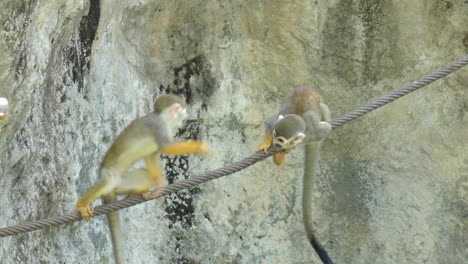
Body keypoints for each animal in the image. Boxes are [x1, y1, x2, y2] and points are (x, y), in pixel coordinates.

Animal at [76, 94, 210, 264]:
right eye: (183, 111)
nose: (184, 118)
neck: (163, 117)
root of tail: (112, 190)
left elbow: (151, 156)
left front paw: (159, 182)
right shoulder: (158, 126)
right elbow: (167, 147)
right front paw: (200, 147)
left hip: (122, 182)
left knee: (145, 175)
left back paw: (134, 194)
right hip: (110, 176)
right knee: (107, 178)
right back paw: (81, 205)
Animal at [256, 86, 332, 262]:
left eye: (281, 140)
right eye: (275, 136)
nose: (276, 144)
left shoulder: (312, 133)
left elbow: (326, 129)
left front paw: (287, 148)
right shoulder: (276, 123)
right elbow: (269, 123)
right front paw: (266, 144)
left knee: (323, 109)